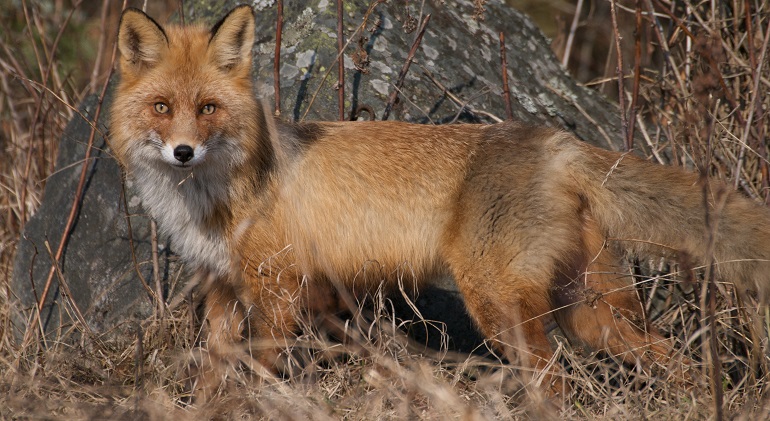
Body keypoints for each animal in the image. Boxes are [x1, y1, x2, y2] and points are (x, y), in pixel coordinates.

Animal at [112, 5, 768, 394]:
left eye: (208, 108)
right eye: (162, 107)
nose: (183, 153)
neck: (215, 200)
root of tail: (554, 140)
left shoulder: (278, 286)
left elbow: (259, 369)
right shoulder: (223, 290)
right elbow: (212, 373)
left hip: (499, 303)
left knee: (553, 378)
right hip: (589, 311)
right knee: (668, 358)